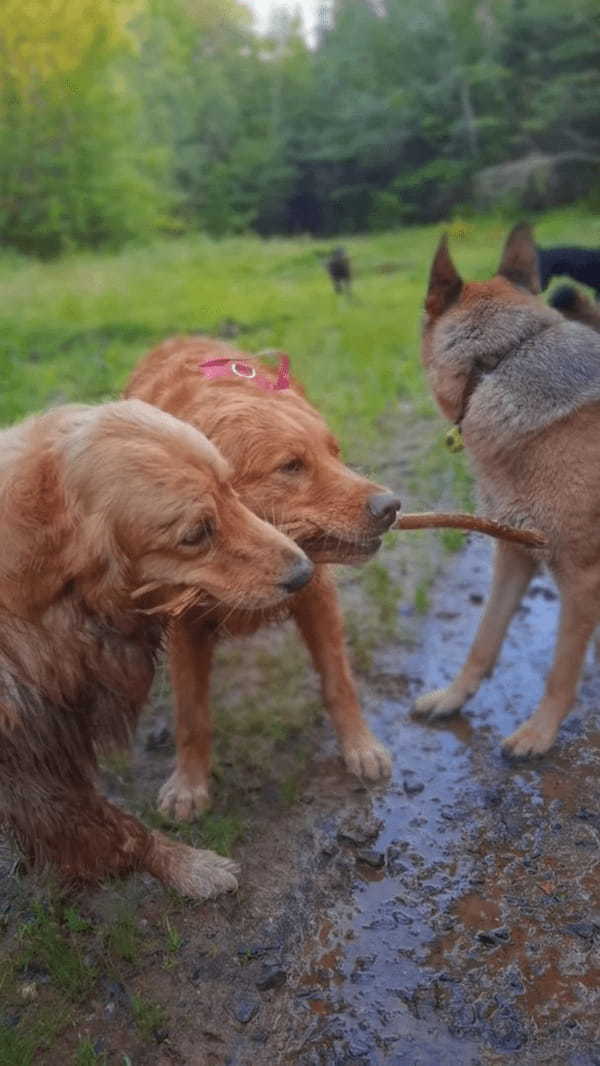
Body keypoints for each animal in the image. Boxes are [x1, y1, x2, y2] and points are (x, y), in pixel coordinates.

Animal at [1, 400, 315, 899]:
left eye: (231, 487)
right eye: (196, 534)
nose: (305, 573)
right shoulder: (33, 764)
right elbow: (120, 832)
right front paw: (189, 867)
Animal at [124, 336, 400, 818]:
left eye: (335, 453)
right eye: (291, 466)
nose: (391, 507)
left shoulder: (317, 594)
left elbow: (339, 682)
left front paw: (360, 746)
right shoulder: (185, 623)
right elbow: (192, 715)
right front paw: (189, 784)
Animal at [415, 222, 600, 758]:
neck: (499, 362)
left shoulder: (582, 579)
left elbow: (561, 671)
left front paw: (539, 733)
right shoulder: (514, 554)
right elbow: (484, 639)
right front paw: (453, 697)